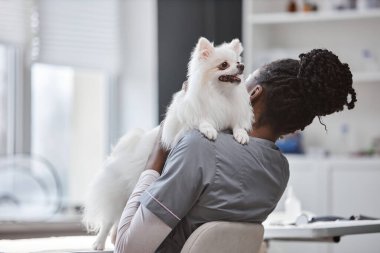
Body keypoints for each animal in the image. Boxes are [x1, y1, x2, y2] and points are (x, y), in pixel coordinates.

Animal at [84, 37, 254, 249]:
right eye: (224, 65)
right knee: (108, 220)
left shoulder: (233, 114)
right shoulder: (187, 118)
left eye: (238, 62)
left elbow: (237, 125)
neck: (220, 96)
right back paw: (99, 243)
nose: (241, 66)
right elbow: (201, 120)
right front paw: (209, 130)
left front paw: (241, 135)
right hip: (118, 193)